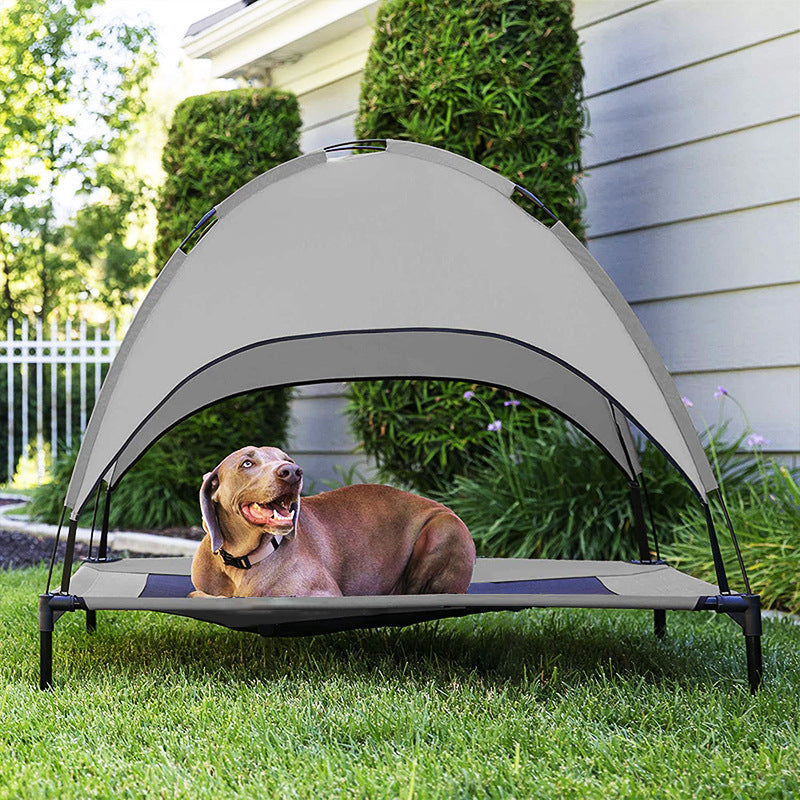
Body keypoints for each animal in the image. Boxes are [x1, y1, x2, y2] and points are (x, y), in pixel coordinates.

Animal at [191, 446, 476, 596]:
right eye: (247, 463)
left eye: (287, 460)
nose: (293, 472)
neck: (240, 561)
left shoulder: (321, 593)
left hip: (443, 529)